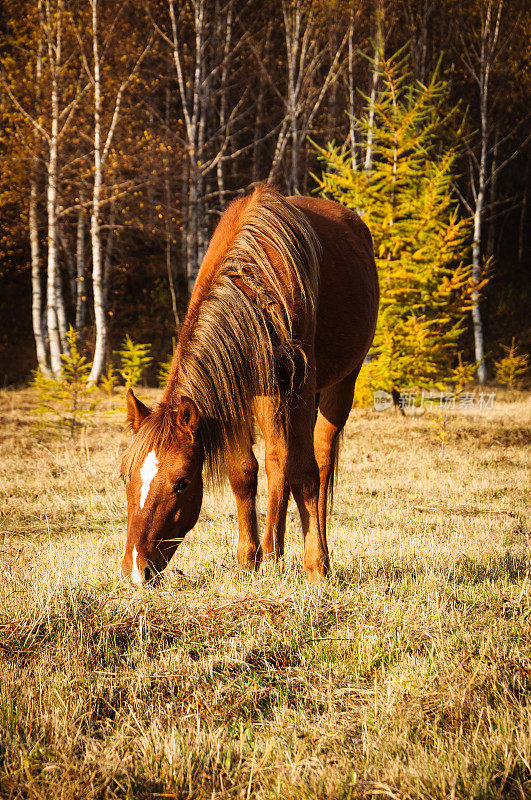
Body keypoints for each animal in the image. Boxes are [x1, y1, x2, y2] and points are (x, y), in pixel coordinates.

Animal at [119, 186, 378, 588]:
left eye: (182, 483)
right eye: (124, 475)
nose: (136, 569)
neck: (254, 282)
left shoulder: (300, 388)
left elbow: (305, 472)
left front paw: (316, 567)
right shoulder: (239, 387)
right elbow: (244, 472)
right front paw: (248, 559)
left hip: (337, 386)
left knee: (320, 460)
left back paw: (318, 551)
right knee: (276, 461)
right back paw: (273, 549)